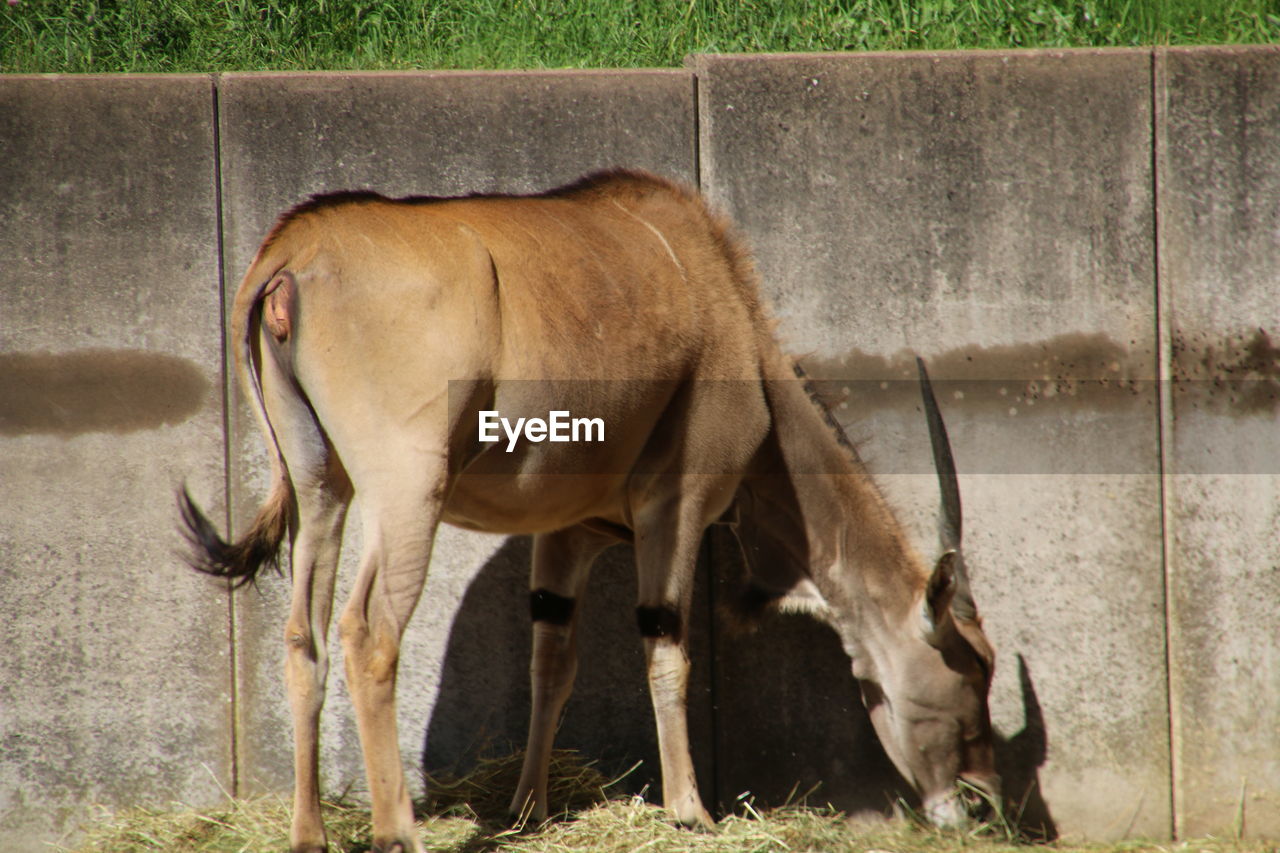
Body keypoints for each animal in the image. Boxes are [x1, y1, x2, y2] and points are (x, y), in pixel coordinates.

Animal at [180, 167, 998, 850]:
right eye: (972, 672)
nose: (980, 803)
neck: (723, 306)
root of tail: (293, 254)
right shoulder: (679, 504)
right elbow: (667, 648)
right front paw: (690, 810)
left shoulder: (567, 532)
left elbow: (552, 659)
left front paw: (528, 808)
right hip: (406, 493)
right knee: (367, 633)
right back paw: (398, 832)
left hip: (321, 486)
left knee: (303, 637)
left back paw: (309, 834)